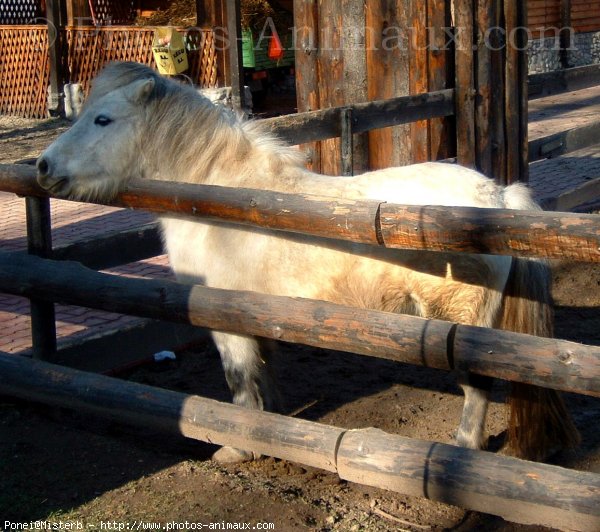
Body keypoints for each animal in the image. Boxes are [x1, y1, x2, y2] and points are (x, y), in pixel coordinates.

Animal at [36, 61, 576, 462]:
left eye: (103, 119)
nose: (42, 166)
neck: (221, 198)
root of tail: (497, 197)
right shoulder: (256, 316)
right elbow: (263, 375)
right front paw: (271, 428)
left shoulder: (224, 321)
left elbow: (239, 381)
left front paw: (237, 446)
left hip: (459, 329)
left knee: (478, 392)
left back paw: (462, 452)